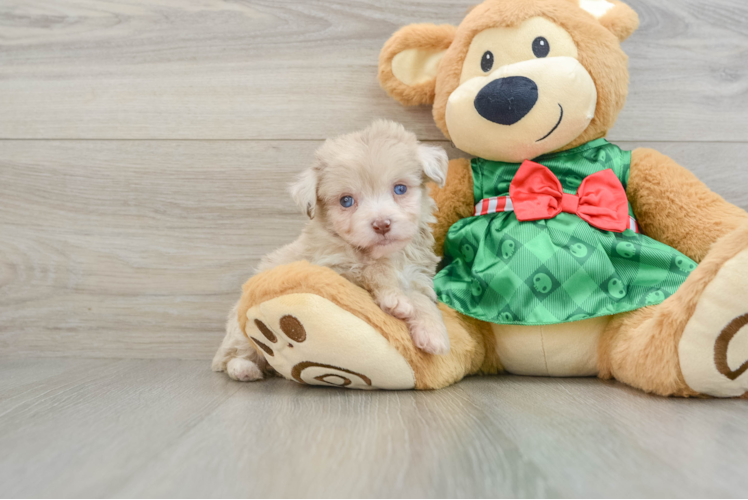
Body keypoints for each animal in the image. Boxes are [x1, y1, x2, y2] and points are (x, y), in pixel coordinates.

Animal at [213, 119, 452, 380]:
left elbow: (422, 300)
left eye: (400, 189)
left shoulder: (416, 276)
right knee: (235, 353)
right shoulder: (333, 268)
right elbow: (371, 272)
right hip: (240, 327)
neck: (383, 255)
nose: (382, 224)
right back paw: (244, 369)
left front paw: (433, 333)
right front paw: (395, 299)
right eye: (346, 201)